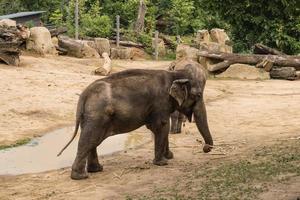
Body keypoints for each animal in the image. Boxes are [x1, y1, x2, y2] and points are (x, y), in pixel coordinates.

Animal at [57, 62, 213, 180]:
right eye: (198, 95)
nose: (206, 148)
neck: (175, 74)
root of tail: (83, 95)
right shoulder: (160, 102)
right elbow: (162, 125)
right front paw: (162, 163)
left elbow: (161, 128)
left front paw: (169, 157)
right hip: (97, 116)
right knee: (90, 139)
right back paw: (81, 177)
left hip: (91, 117)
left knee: (92, 140)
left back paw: (96, 170)